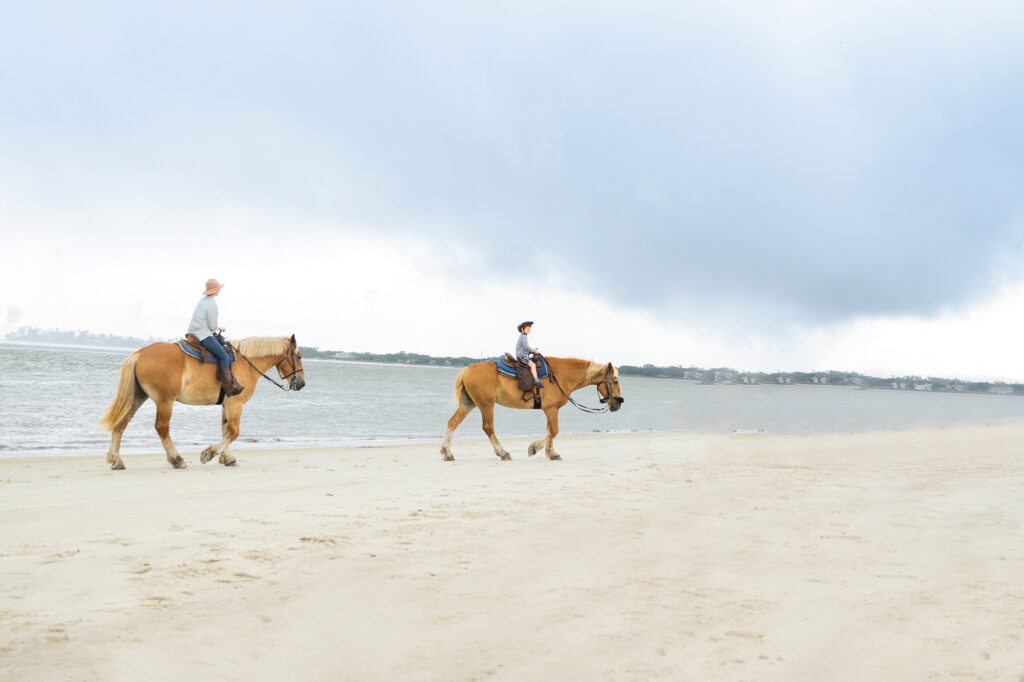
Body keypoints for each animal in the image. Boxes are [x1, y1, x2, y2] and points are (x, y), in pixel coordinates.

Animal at [97, 333, 305, 466]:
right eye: (298, 356)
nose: (301, 383)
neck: (246, 363)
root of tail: (140, 353)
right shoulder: (235, 404)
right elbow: (234, 431)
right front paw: (209, 453)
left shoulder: (227, 405)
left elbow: (226, 430)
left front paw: (226, 458)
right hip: (165, 401)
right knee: (162, 428)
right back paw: (176, 459)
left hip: (137, 397)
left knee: (121, 424)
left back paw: (116, 459)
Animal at [440, 352, 622, 458]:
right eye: (615, 381)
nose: (618, 403)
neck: (561, 375)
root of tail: (467, 370)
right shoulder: (551, 409)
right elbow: (554, 431)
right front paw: (535, 448)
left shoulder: (551, 410)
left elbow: (550, 431)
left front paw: (551, 453)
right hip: (486, 404)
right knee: (488, 427)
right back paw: (503, 453)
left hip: (468, 404)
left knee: (452, 422)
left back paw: (447, 452)